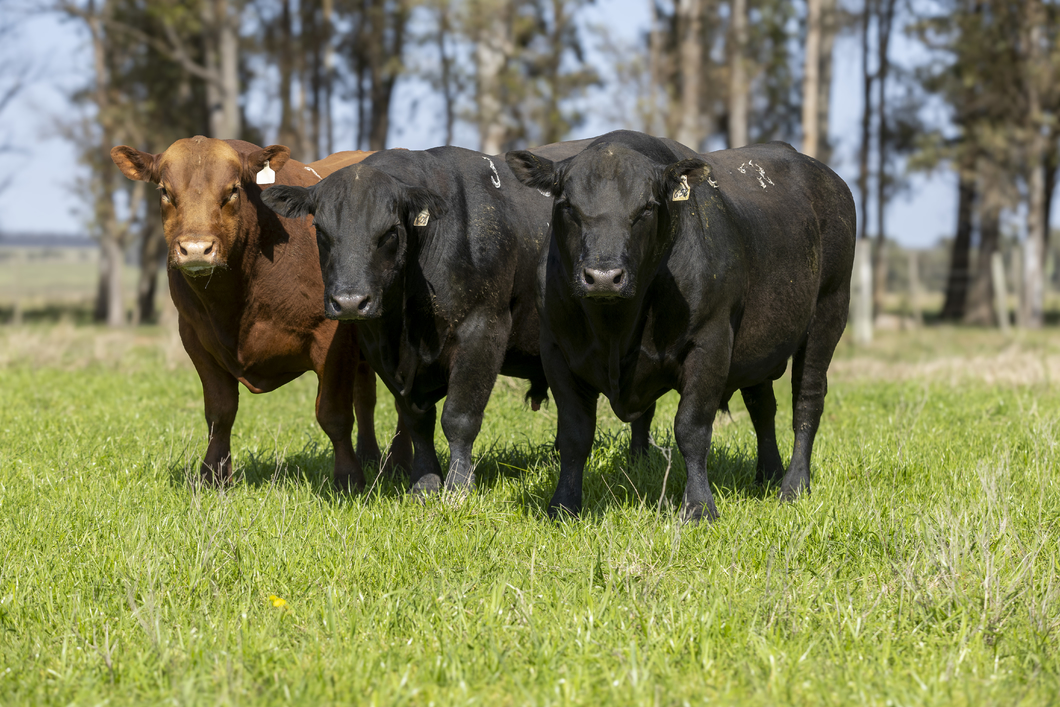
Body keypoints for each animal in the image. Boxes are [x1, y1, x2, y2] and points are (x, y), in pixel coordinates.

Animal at [110, 135, 409, 489]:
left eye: (232, 190)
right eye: (165, 191)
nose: (196, 249)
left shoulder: (332, 337)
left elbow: (333, 414)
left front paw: (348, 479)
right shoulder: (195, 337)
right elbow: (220, 412)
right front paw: (213, 476)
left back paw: (397, 462)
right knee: (365, 395)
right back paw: (371, 456)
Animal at [506, 129, 860, 523]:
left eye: (647, 207)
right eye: (567, 205)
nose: (603, 277)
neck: (615, 327)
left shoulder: (711, 343)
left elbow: (691, 429)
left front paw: (699, 507)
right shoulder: (556, 350)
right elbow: (574, 433)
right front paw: (563, 505)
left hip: (828, 314)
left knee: (807, 401)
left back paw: (794, 484)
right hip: (760, 344)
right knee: (762, 406)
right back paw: (768, 474)